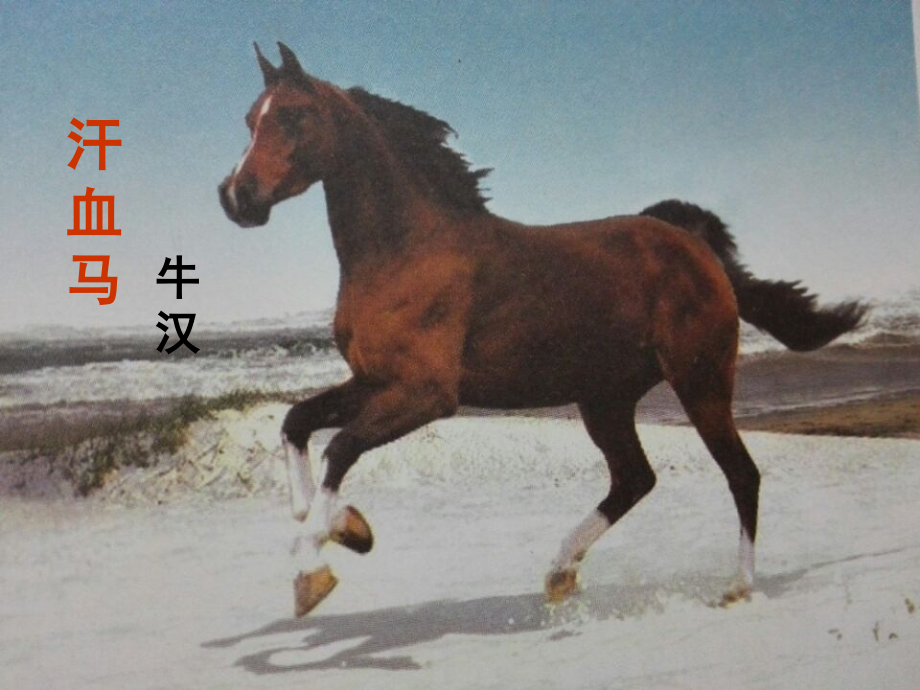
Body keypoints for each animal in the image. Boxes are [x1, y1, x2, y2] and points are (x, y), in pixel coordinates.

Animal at [218, 43, 867, 617]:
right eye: (250, 119)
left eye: (293, 116)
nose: (236, 197)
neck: (406, 251)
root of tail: (692, 246)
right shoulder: (375, 380)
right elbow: (298, 422)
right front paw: (339, 526)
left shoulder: (428, 394)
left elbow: (341, 447)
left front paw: (314, 567)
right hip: (605, 398)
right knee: (635, 479)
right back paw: (559, 572)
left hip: (700, 382)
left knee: (741, 474)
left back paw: (737, 587)